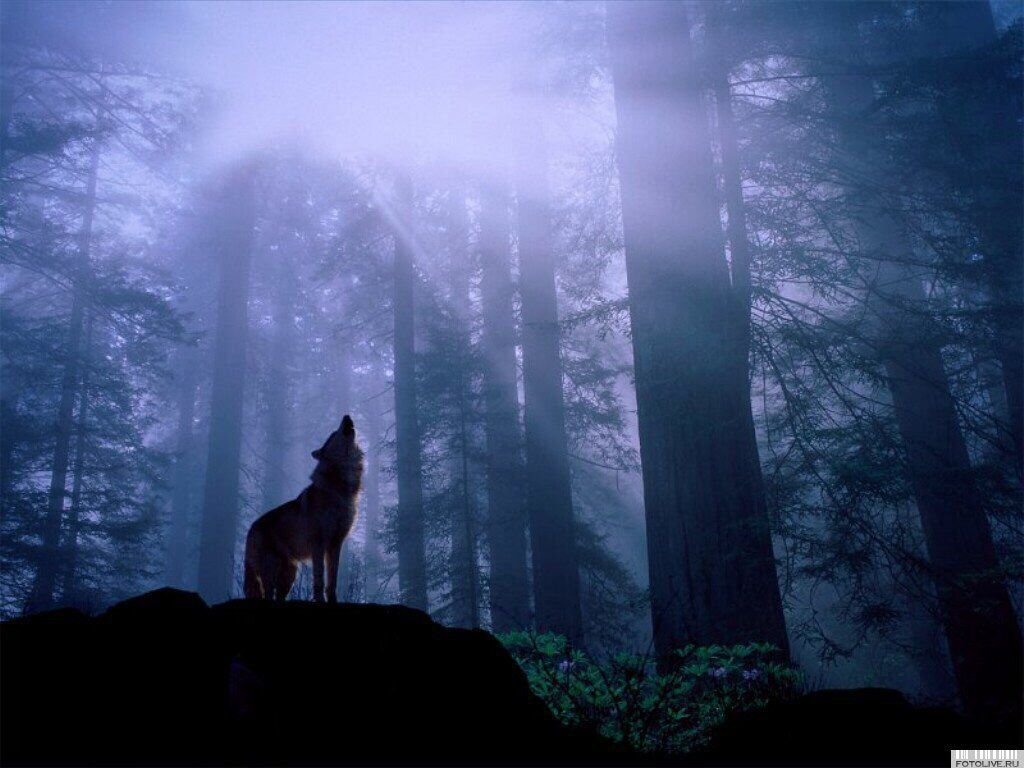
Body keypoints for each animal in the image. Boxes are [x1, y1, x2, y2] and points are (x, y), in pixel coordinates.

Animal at [243, 414, 364, 602]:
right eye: (333, 433)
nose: (347, 416)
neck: (340, 488)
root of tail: (251, 528)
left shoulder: (336, 544)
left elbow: (332, 582)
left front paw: (333, 601)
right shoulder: (318, 545)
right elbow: (319, 580)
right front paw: (320, 600)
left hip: (289, 575)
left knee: (278, 597)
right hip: (270, 573)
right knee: (268, 595)